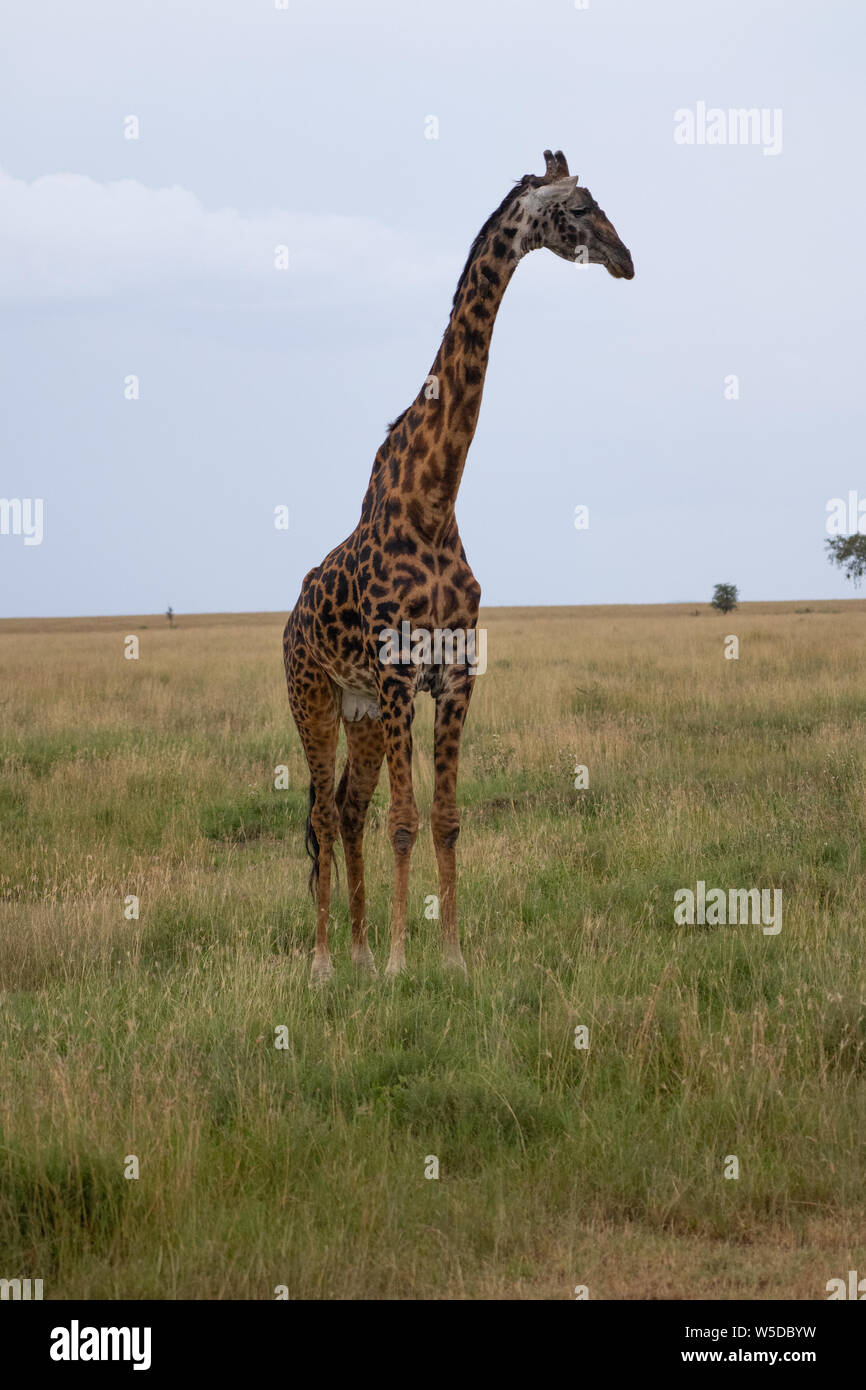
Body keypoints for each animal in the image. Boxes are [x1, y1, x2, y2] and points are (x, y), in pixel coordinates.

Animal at [283, 149, 634, 982]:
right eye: (578, 208)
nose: (625, 259)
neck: (436, 496)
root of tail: (287, 620)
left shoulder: (455, 672)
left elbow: (444, 818)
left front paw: (448, 959)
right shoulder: (398, 671)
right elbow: (406, 821)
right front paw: (402, 964)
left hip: (360, 712)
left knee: (347, 806)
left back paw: (356, 951)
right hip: (314, 696)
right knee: (322, 811)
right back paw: (324, 965)